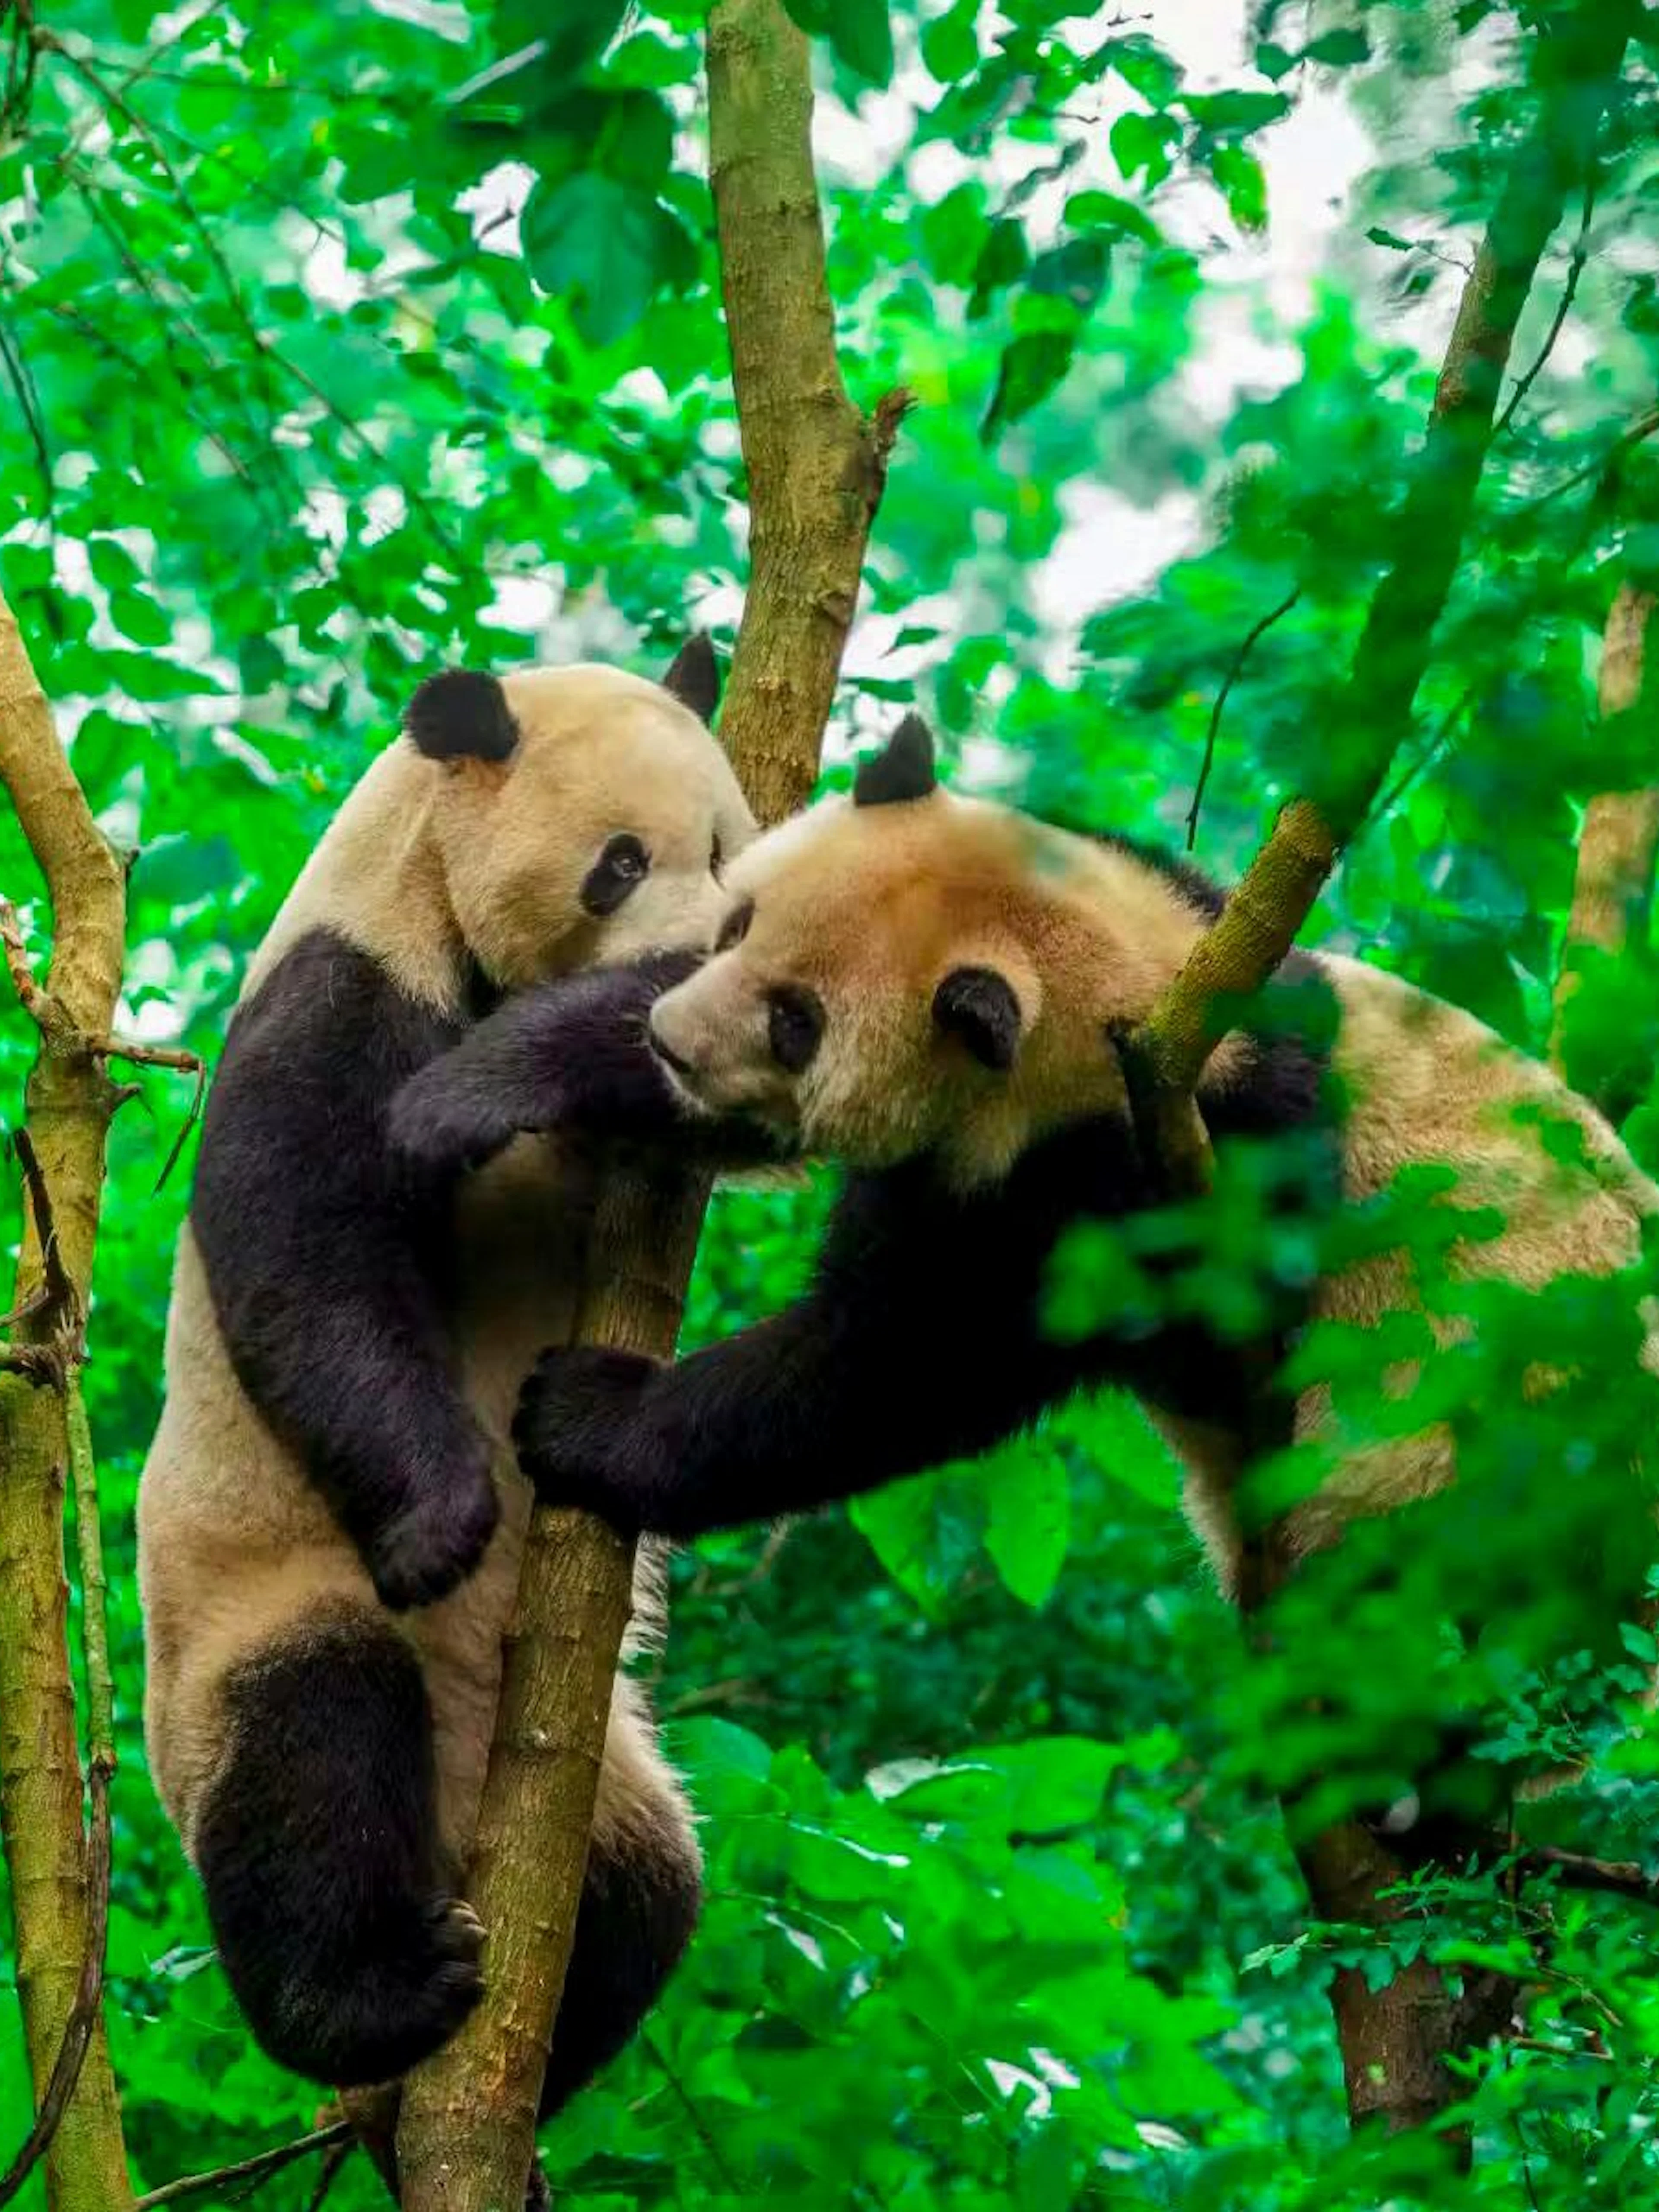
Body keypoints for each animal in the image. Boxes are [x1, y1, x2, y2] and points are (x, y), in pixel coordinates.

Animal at [136, 643, 757, 2107]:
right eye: (619, 863)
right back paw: (377, 2004)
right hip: (252, 1612)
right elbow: (310, 1242)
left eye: (724, 846)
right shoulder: (345, 986)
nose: (707, 951)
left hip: (611, 1784)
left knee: (656, 1888)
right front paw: (445, 1522)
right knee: (314, 1742)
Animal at [387, 710, 1659, 1834]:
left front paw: (584, 1413)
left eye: (798, 1023)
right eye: (738, 920)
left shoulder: (1134, 1185)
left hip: (1479, 1451)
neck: (1128, 995)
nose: (674, 1042)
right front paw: (492, 1083)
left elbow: (903, 1360)